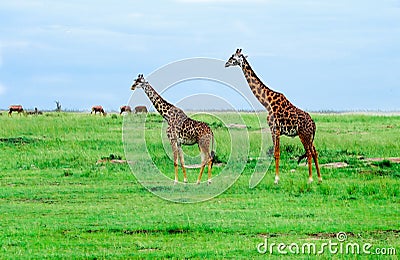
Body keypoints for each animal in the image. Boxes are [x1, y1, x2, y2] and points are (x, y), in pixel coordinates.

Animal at [225, 48, 322, 183]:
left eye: (233, 57)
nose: (226, 64)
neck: (266, 102)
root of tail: (313, 124)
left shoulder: (274, 129)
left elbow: (276, 153)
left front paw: (276, 179)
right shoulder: (276, 131)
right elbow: (276, 152)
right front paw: (276, 178)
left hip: (304, 135)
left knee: (308, 153)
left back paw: (310, 179)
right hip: (309, 136)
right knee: (315, 152)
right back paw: (319, 179)